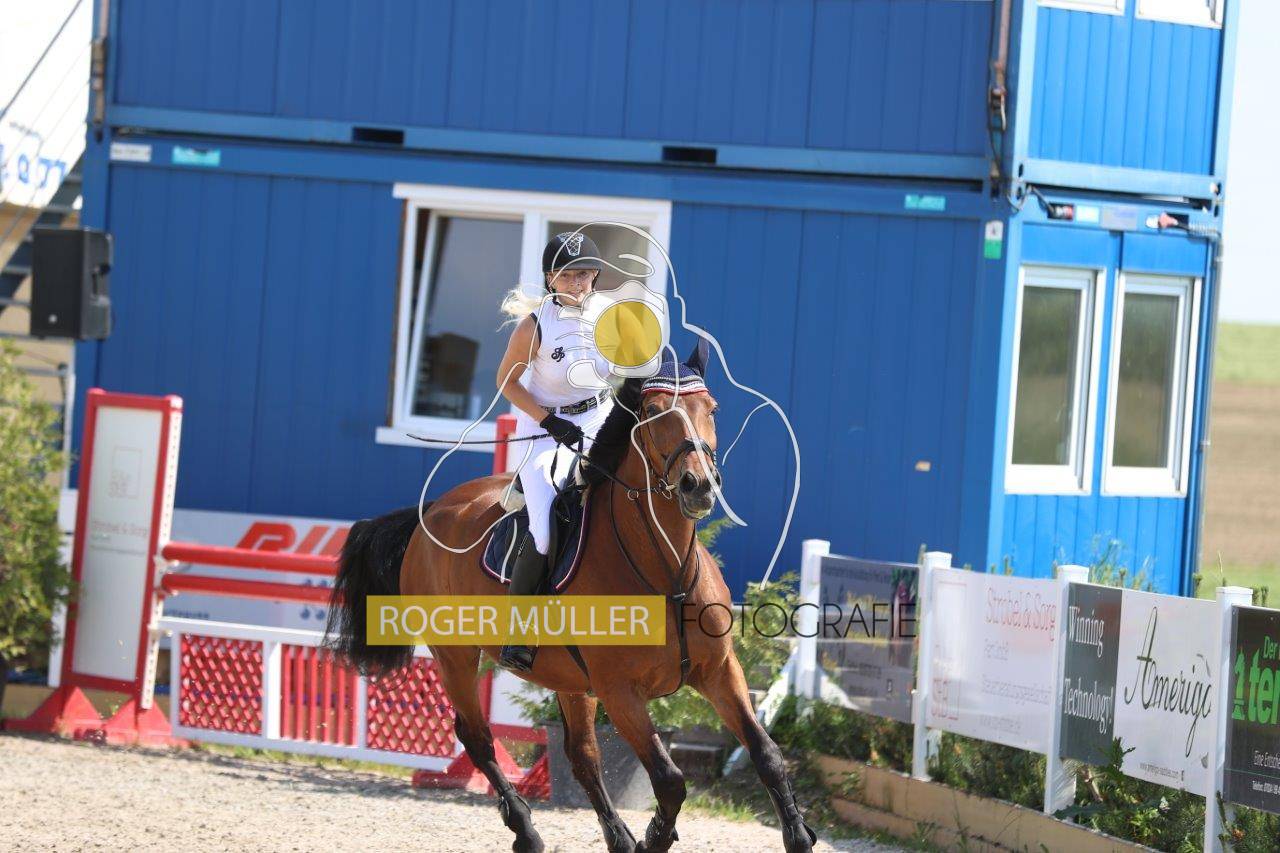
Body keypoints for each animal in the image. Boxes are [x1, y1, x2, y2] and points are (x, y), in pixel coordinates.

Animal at [326, 343, 817, 853]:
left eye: (712, 409)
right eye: (653, 413)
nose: (698, 485)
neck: (666, 571)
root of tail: (432, 511)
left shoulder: (719, 671)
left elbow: (766, 754)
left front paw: (799, 835)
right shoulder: (620, 692)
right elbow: (669, 780)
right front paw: (656, 837)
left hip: (568, 679)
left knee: (581, 756)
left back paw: (618, 837)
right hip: (455, 654)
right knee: (477, 737)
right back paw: (527, 831)